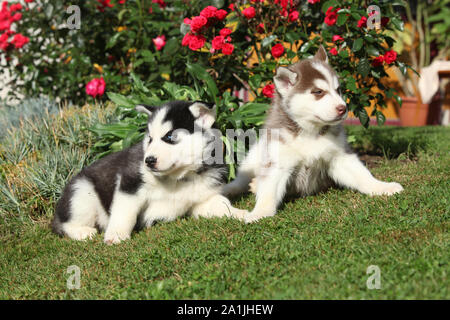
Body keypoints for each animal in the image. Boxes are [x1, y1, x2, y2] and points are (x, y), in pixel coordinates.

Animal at [52, 101, 246, 244]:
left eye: (169, 137)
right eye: (150, 139)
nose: (149, 161)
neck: (177, 178)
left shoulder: (202, 200)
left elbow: (223, 205)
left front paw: (242, 214)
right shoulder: (130, 183)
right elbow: (124, 213)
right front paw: (116, 235)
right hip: (82, 193)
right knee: (63, 225)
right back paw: (83, 232)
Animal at [224, 46, 404, 224]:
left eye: (338, 90)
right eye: (318, 92)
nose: (343, 108)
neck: (309, 132)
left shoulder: (340, 156)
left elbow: (362, 175)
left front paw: (382, 187)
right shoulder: (277, 162)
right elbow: (268, 192)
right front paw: (259, 212)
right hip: (253, 158)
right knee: (241, 181)